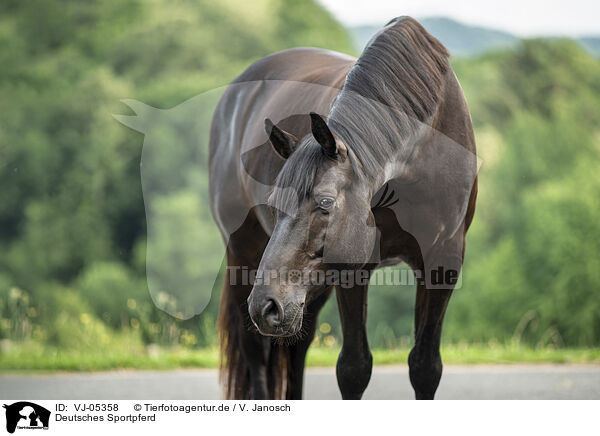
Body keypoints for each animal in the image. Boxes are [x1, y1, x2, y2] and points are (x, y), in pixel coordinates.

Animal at [210, 16, 478, 398]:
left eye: (325, 203)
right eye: (274, 205)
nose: (266, 305)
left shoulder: (443, 262)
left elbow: (425, 367)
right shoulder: (353, 268)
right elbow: (354, 368)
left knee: (295, 346)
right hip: (244, 255)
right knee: (255, 351)